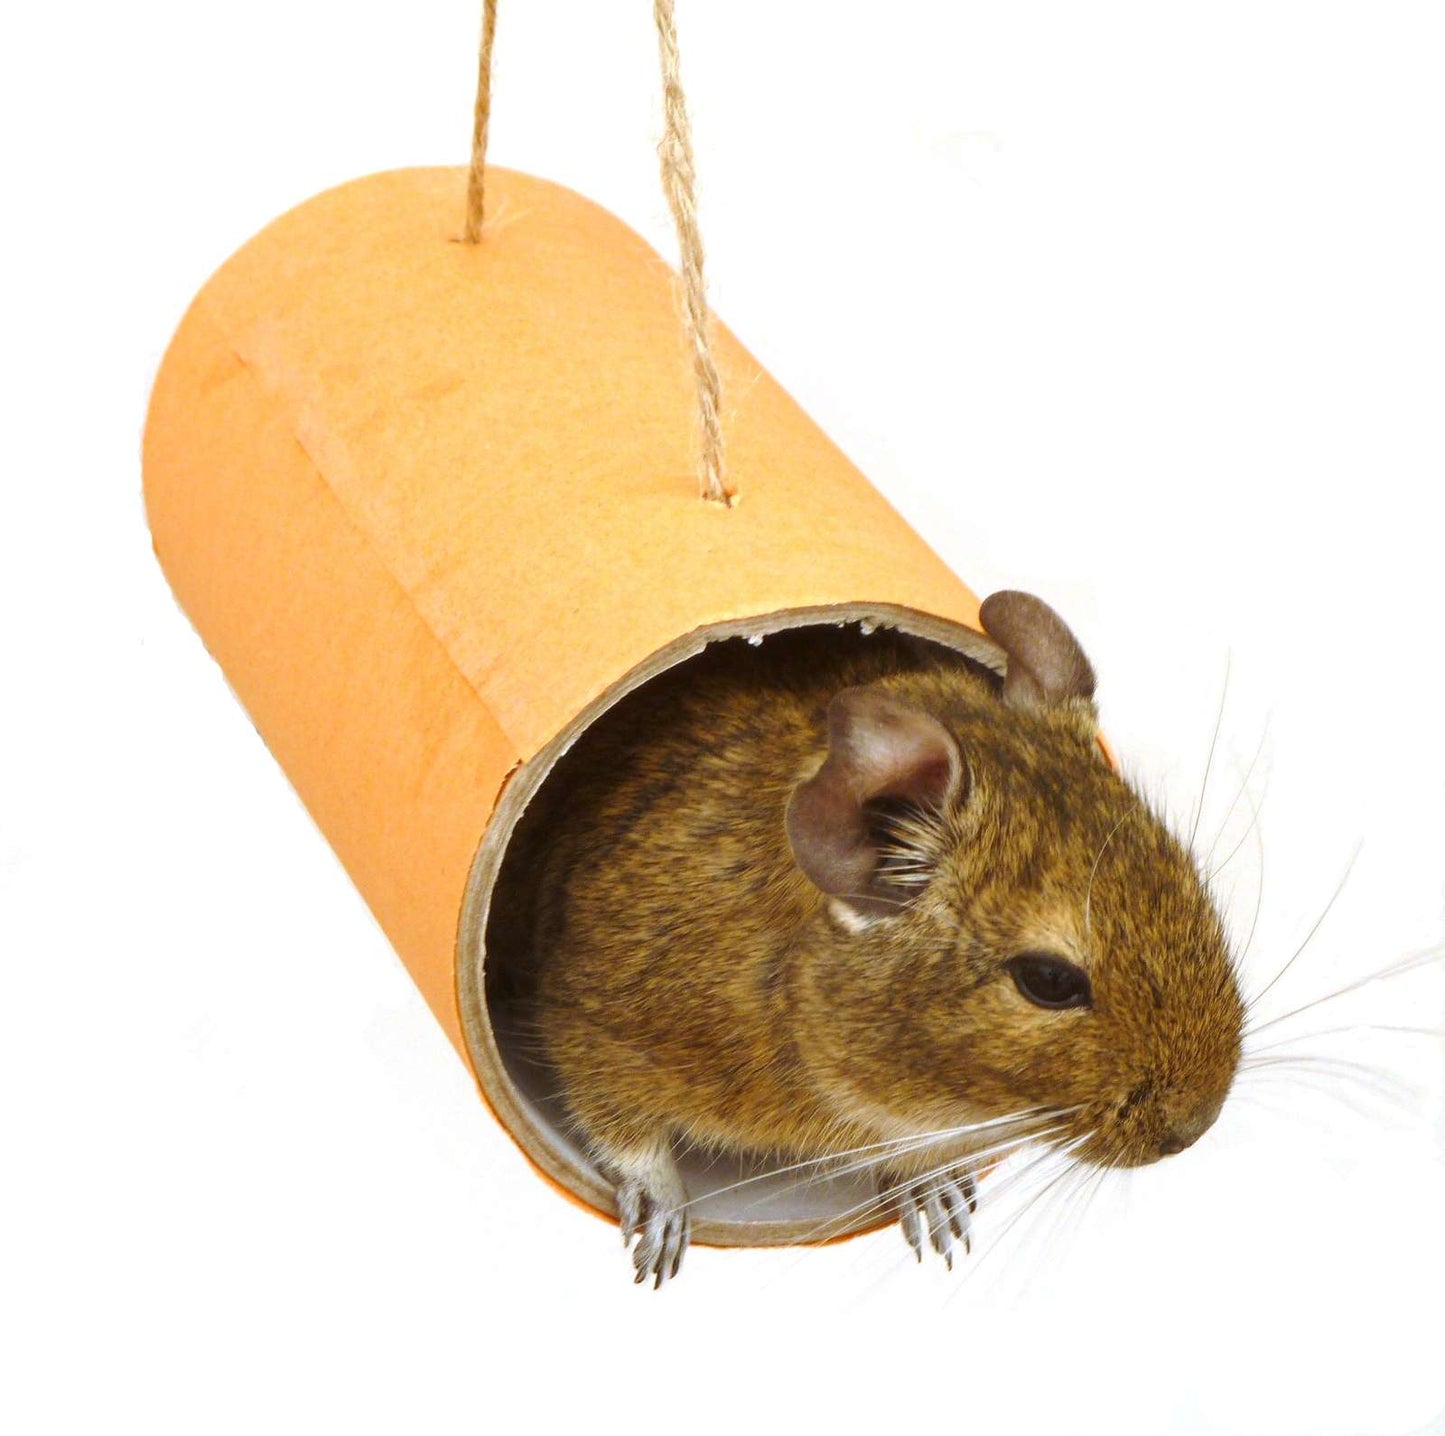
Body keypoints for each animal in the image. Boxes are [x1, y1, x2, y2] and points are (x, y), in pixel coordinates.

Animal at [528, 592, 1245, 1285]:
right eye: (1049, 981)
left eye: (1188, 878)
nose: (1196, 1127)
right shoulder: (596, 1020)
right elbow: (619, 1125)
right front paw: (659, 1224)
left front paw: (937, 1197)